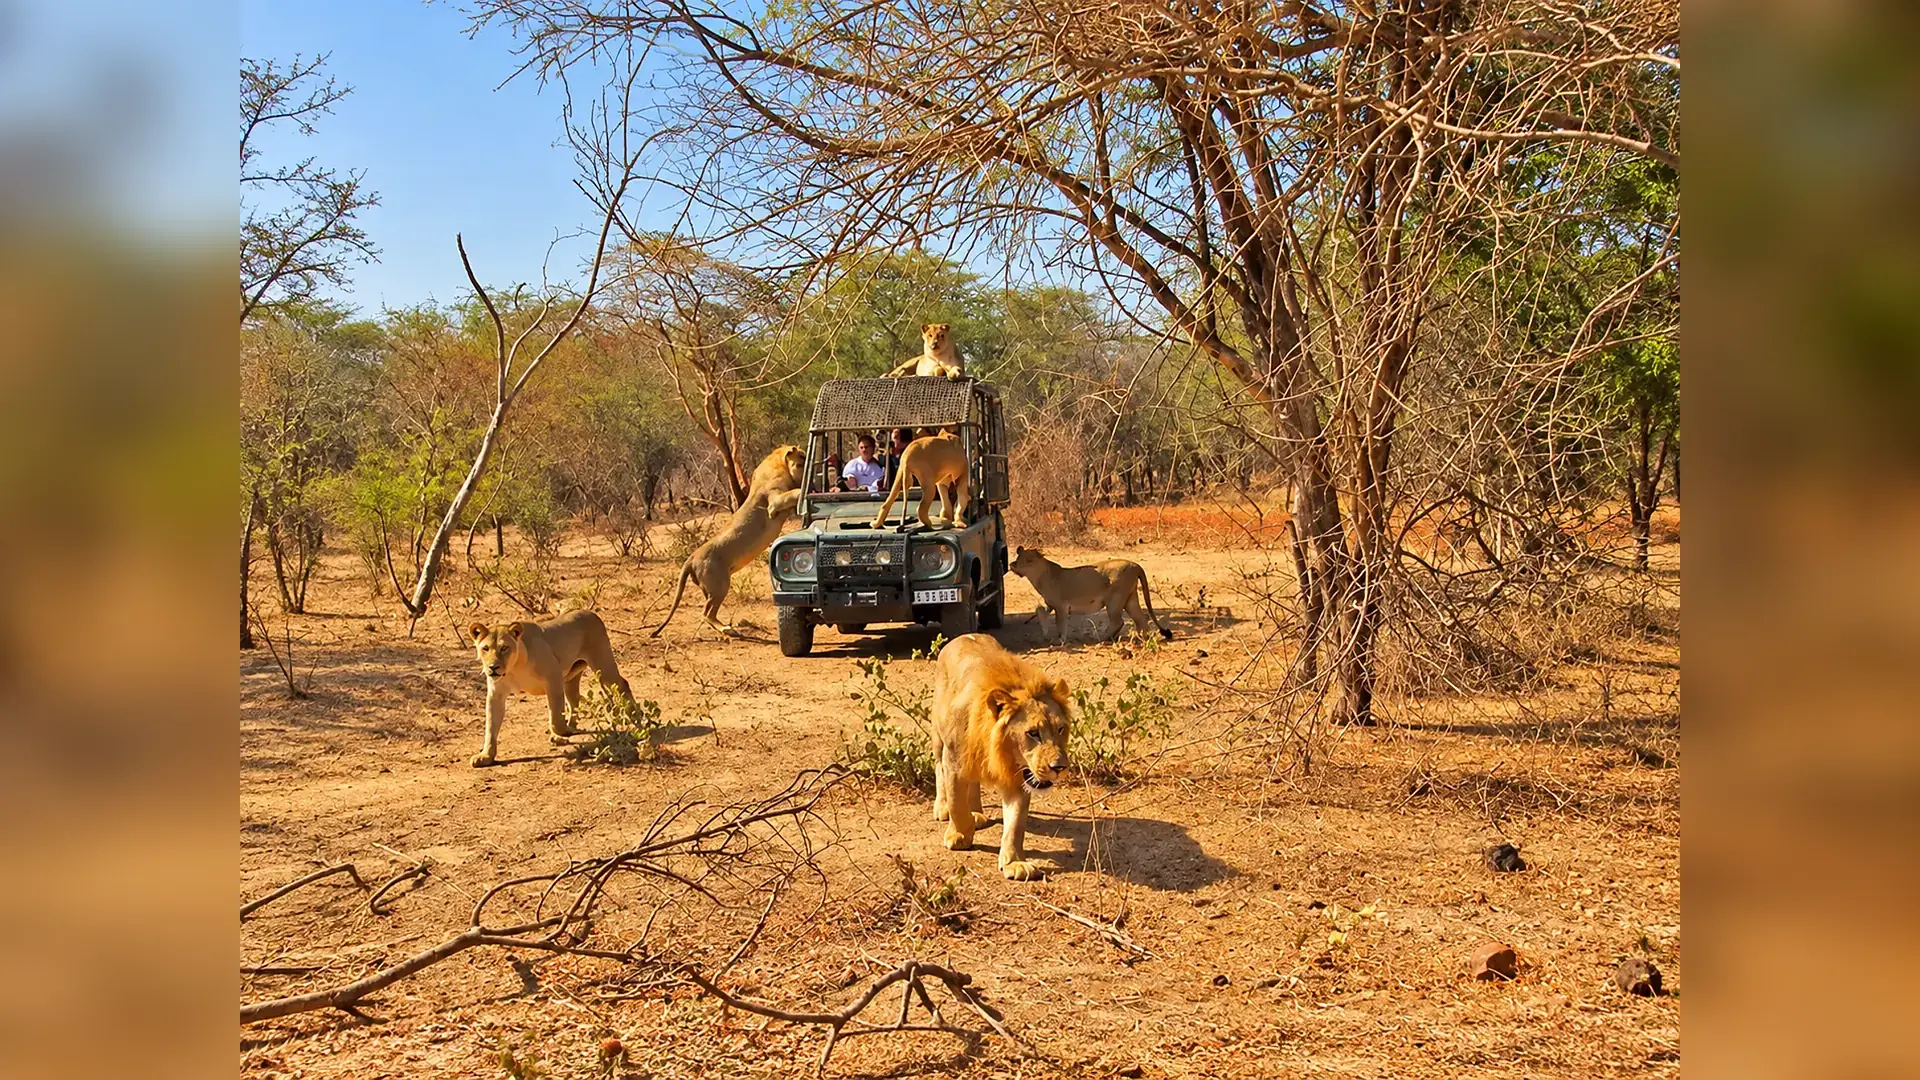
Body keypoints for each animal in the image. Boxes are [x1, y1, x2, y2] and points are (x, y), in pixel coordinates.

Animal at [467, 610, 631, 767]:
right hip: (571, 678)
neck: (513, 668)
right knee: (574, 700)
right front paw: (485, 756)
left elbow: (555, 718)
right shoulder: (496, 694)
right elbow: (490, 727)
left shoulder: (554, 676)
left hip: (603, 666)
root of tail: (590, 613)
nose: (493, 667)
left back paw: (632, 715)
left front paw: (563, 733)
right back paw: (570, 727)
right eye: (485, 648)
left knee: (622, 684)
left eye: (504, 648)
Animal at [652, 487, 803, 636]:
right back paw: (727, 629)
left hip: (708, 588)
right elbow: (789, 497)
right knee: (707, 613)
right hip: (720, 585)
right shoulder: (774, 506)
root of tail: (691, 557)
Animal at [929, 633, 1072, 881]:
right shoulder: (954, 759)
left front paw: (1015, 864)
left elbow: (1015, 825)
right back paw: (942, 807)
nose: (1059, 767)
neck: (1001, 752)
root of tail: (960, 637)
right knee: (939, 768)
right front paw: (959, 836)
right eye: (1032, 733)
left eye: (1061, 729)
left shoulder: (1019, 779)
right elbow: (957, 802)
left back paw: (977, 813)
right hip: (939, 736)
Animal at [1009, 545, 1173, 643]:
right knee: (1141, 619)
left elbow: (1060, 623)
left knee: (1118, 621)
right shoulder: (1049, 604)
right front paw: (1044, 633)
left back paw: (1101, 638)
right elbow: (1038, 609)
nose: (1013, 565)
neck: (1039, 577)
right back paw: (1141, 639)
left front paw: (1061, 640)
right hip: (1130, 599)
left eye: (1028, 560)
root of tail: (1136, 565)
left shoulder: (1061, 606)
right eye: (1018, 558)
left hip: (1115, 599)